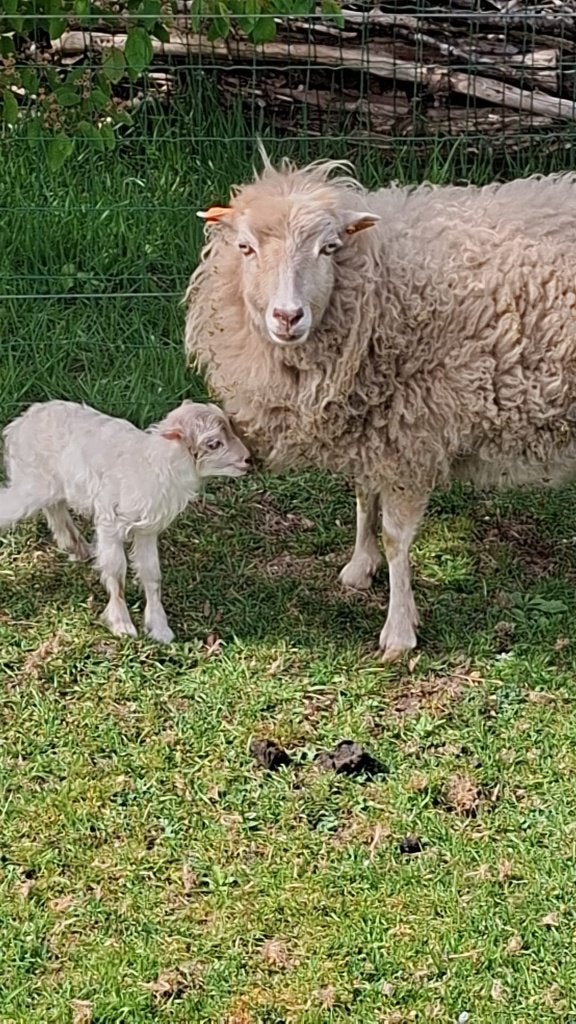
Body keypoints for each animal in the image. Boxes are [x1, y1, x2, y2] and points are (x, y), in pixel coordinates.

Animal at [0, 399, 250, 642]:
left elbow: (151, 574)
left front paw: (160, 628)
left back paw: (77, 547)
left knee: (55, 507)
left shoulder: (147, 530)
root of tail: (19, 423)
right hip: (31, 482)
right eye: (214, 443)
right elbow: (116, 572)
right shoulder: (109, 522)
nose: (248, 459)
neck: (154, 465)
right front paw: (122, 625)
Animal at [184, 151, 576, 661]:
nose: (288, 317)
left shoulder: (411, 434)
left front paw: (399, 630)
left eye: (329, 248)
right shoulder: (368, 423)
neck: (381, 280)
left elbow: (397, 538)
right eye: (246, 248)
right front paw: (359, 566)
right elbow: (361, 496)